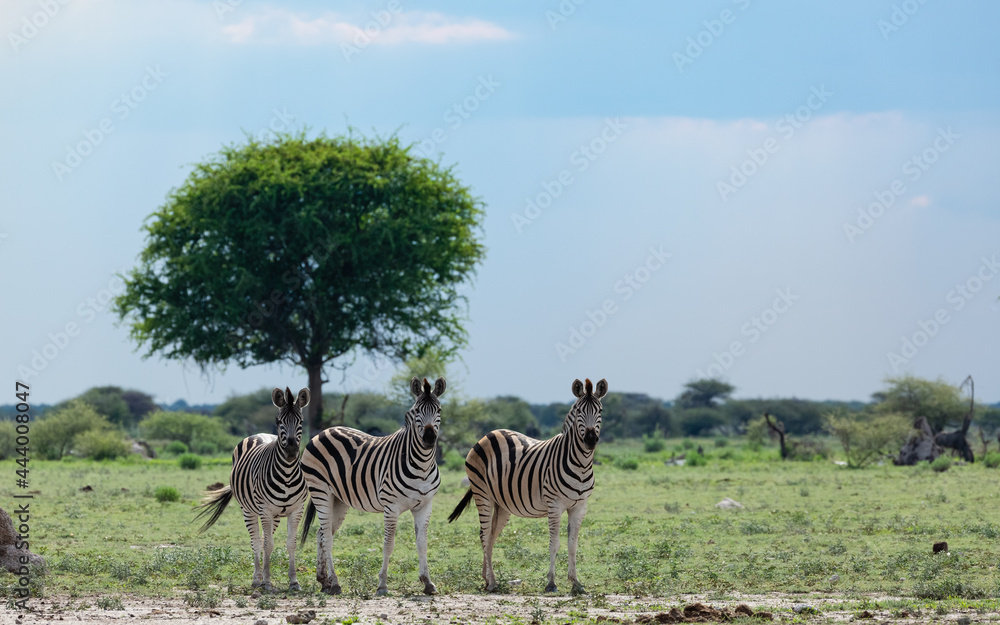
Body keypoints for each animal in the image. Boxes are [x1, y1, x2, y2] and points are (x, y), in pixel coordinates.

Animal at [195, 386, 310, 591]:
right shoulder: (265, 510)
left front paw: (294, 581)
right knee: (256, 542)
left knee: (264, 540)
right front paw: (267, 582)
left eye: (301, 421)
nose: (291, 452)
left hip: (275, 515)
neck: (288, 474)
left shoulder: (297, 509)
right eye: (279, 421)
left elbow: (290, 544)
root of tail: (258, 434)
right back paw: (257, 579)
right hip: (249, 510)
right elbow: (267, 545)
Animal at [299, 376, 445, 596]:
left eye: (439, 410)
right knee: (327, 538)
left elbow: (422, 543)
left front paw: (428, 582)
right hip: (320, 491)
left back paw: (324, 581)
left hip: (338, 499)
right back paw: (335, 583)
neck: (422, 465)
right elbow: (389, 544)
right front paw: (382, 584)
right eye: (417, 410)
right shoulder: (391, 507)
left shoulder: (425, 506)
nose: (429, 438)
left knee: (322, 534)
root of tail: (323, 432)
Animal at [448, 377, 607, 593]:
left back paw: (487, 578)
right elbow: (555, 543)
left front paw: (576, 582)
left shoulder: (580, 506)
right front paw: (551, 583)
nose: (590, 440)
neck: (581, 464)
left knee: (490, 535)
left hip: (502, 504)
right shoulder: (554, 505)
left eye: (600, 410)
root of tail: (489, 434)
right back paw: (492, 582)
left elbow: (573, 545)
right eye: (579, 411)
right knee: (484, 534)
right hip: (482, 494)